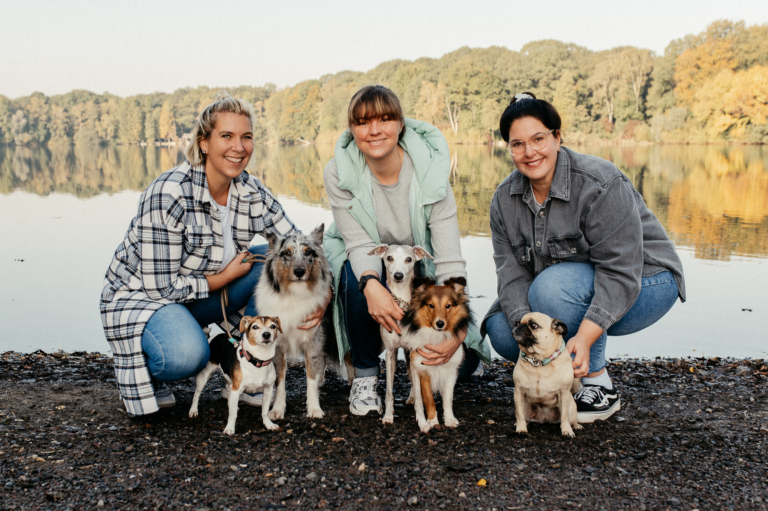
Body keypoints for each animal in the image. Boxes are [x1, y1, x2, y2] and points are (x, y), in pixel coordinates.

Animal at [258, 226, 354, 422]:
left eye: (308, 252)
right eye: (286, 253)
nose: (299, 271)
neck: (295, 293)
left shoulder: (313, 341)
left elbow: (310, 379)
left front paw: (314, 408)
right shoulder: (278, 347)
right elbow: (280, 382)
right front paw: (277, 409)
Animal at [400, 278, 472, 434]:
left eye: (448, 306)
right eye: (431, 305)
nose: (439, 323)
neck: (437, 336)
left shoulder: (451, 371)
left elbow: (448, 399)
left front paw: (449, 419)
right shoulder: (423, 371)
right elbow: (428, 399)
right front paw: (432, 421)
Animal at [512, 312, 580, 440]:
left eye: (533, 325)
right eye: (517, 323)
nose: (518, 327)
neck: (538, 360)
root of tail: (544, 419)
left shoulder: (564, 392)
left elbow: (564, 416)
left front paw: (567, 431)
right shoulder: (519, 391)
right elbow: (519, 414)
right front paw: (521, 429)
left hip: (572, 408)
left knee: (571, 419)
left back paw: (576, 426)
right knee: (523, 415)